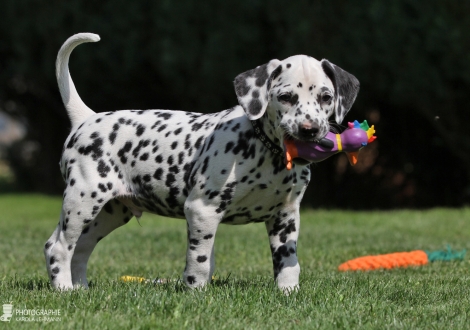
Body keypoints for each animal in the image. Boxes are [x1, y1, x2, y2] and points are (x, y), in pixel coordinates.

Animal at [45, 32, 360, 292]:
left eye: (326, 97)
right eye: (285, 97)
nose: (310, 130)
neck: (267, 152)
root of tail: (87, 117)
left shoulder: (286, 216)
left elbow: (287, 262)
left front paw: (288, 293)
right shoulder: (202, 211)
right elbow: (200, 260)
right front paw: (196, 293)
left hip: (110, 212)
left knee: (80, 249)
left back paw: (81, 289)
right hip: (82, 201)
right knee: (58, 247)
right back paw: (64, 289)